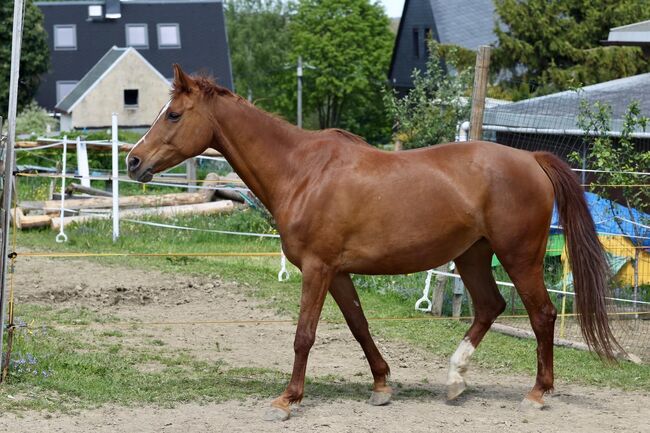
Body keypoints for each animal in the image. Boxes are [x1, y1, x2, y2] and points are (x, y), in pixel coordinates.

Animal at [126, 66, 616, 420]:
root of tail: (532, 158)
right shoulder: (338, 272)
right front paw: (382, 386)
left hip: (518, 256)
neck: (301, 172)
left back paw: (537, 393)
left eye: (174, 114)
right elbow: (359, 326)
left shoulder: (318, 269)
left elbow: (304, 335)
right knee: (490, 306)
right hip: (473, 255)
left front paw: (288, 400)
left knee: (542, 315)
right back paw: (455, 380)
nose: (133, 160)